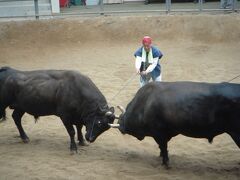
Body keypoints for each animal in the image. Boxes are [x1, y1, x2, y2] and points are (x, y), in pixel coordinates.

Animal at [111, 81, 239, 167]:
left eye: (122, 121)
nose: (119, 125)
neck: (144, 104)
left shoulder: (159, 134)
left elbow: (163, 148)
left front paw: (165, 163)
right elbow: (162, 148)